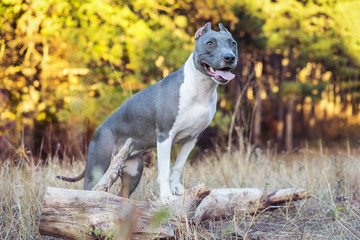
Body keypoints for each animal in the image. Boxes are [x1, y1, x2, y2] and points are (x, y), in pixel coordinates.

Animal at [57, 22, 238, 202]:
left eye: (233, 44)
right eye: (210, 43)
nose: (229, 57)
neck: (200, 88)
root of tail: (96, 133)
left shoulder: (192, 138)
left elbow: (178, 166)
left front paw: (176, 188)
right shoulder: (165, 136)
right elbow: (164, 170)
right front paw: (166, 196)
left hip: (133, 172)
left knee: (122, 195)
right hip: (97, 168)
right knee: (89, 191)